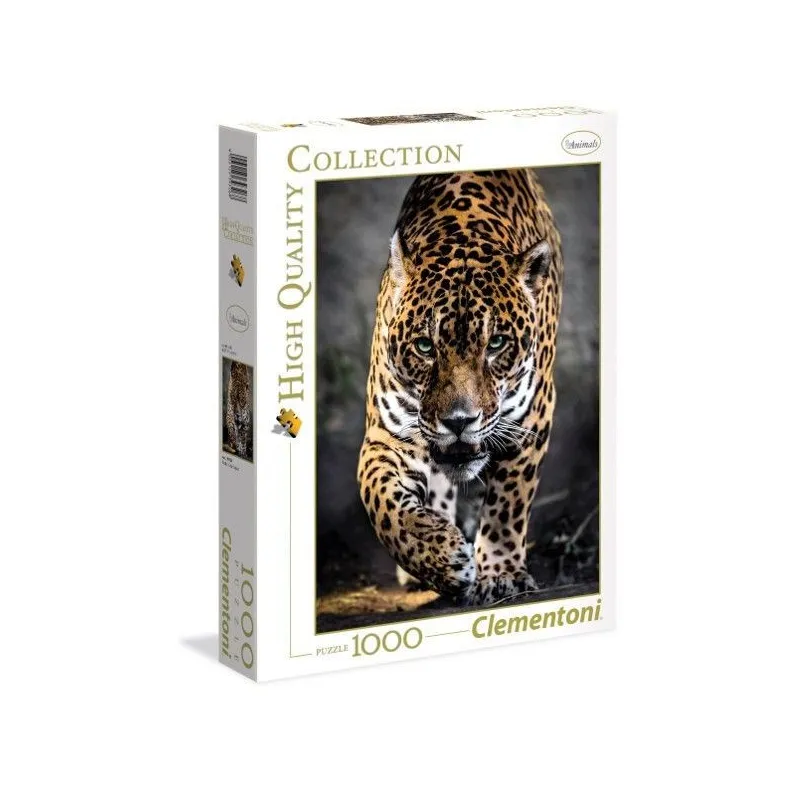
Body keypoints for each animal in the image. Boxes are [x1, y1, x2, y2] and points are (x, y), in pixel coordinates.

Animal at [357, 168, 563, 605]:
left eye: (497, 343)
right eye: (424, 346)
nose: (458, 422)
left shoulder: (531, 420)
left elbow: (507, 504)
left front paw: (500, 574)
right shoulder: (387, 434)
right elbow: (381, 501)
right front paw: (440, 557)